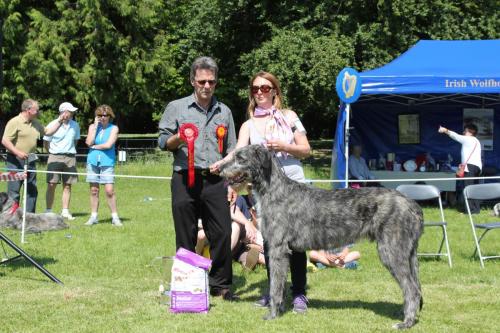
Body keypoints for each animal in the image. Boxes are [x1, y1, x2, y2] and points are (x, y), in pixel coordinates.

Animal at [219, 145, 422, 326]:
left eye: (240, 158)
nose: (218, 169)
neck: (273, 189)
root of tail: (411, 204)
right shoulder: (281, 250)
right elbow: (281, 283)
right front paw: (281, 309)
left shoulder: (277, 248)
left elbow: (275, 284)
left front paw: (273, 314)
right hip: (408, 253)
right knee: (415, 287)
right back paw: (407, 315)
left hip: (391, 251)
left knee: (411, 289)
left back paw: (406, 322)